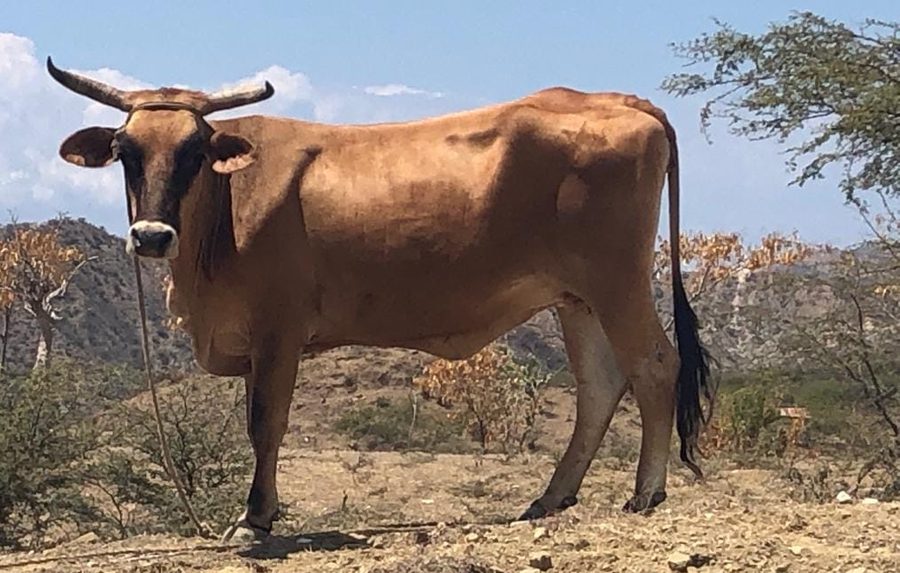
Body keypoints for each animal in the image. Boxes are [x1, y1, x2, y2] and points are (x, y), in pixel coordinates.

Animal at [47, 57, 712, 543]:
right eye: (127, 153)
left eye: (193, 153)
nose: (151, 236)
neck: (226, 208)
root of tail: (620, 100)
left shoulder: (279, 328)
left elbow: (265, 423)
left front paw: (254, 518)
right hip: (577, 298)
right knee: (601, 386)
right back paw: (549, 498)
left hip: (616, 280)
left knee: (655, 365)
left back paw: (646, 492)